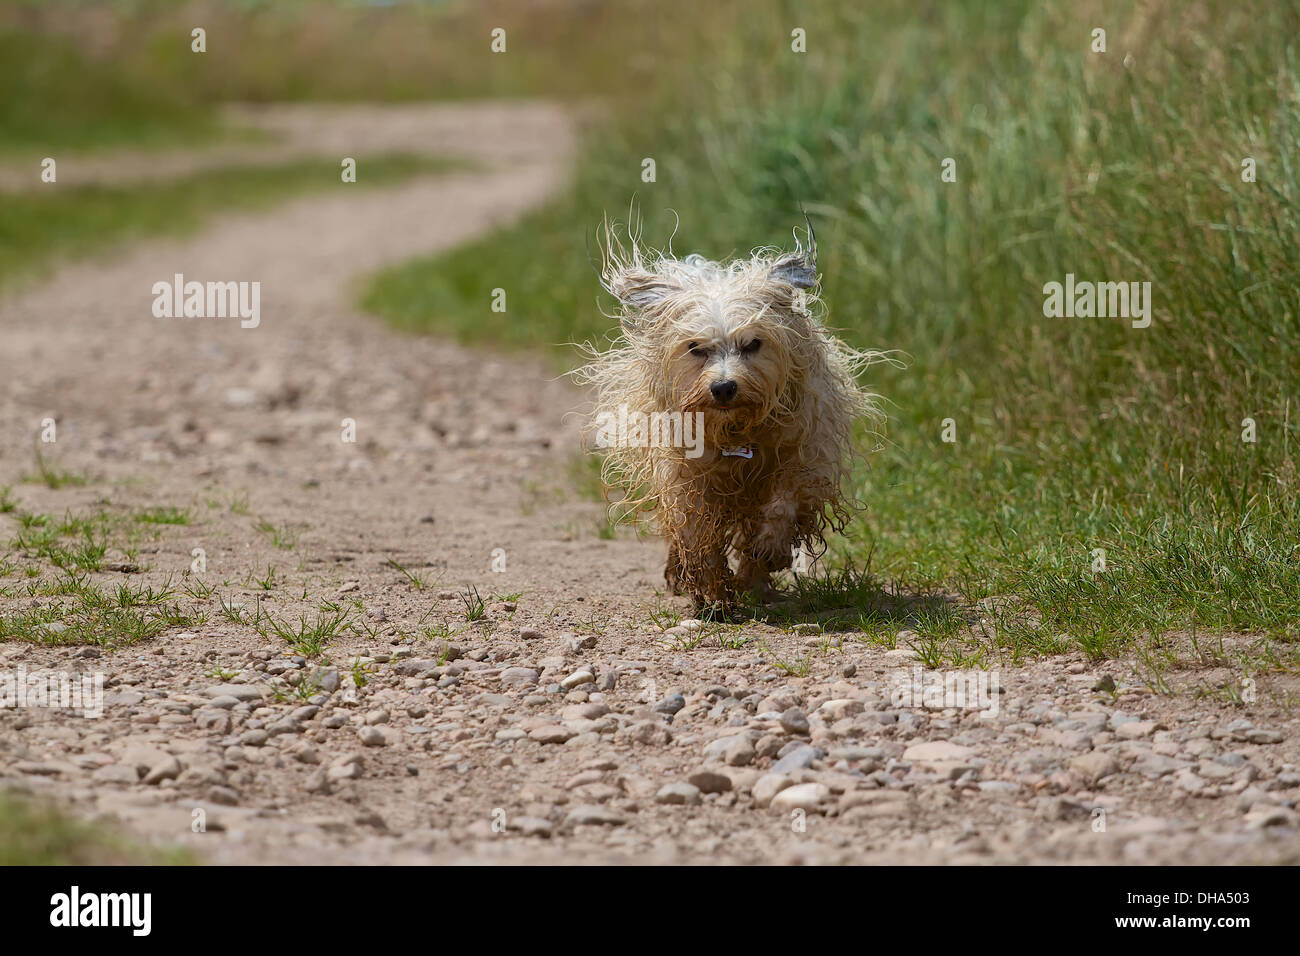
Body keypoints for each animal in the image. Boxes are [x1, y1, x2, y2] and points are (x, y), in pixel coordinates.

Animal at [579, 223, 883, 608]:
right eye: (696, 348)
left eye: (752, 344)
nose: (723, 387)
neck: (735, 430)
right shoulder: (685, 473)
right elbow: (696, 531)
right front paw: (711, 590)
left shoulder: (806, 452)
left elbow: (785, 501)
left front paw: (768, 549)